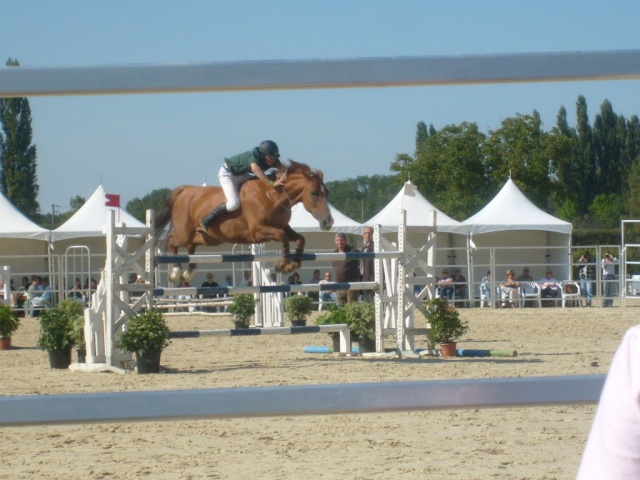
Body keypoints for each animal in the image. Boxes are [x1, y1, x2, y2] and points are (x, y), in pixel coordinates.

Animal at [156, 161, 336, 282]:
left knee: (191, 245)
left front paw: (293, 263)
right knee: (172, 240)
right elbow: (282, 237)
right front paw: (283, 264)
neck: (274, 195)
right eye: (314, 193)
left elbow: (300, 238)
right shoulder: (257, 232)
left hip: (209, 238)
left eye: (327, 192)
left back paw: (189, 272)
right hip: (184, 232)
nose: (328, 222)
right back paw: (176, 272)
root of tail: (185, 191)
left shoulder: (282, 227)